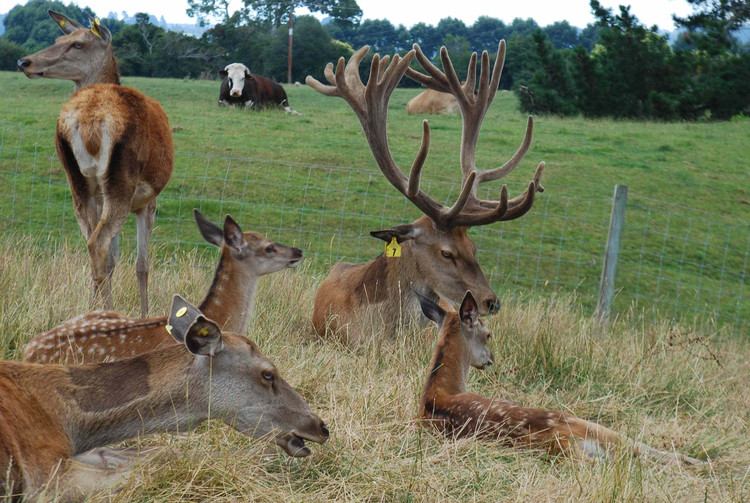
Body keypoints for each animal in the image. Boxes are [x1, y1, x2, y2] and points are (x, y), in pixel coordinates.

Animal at [0, 294, 328, 502]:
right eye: (268, 373)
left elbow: (158, 453)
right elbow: (152, 465)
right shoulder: (44, 476)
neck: (67, 423)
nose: (321, 427)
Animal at [17, 10, 173, 316]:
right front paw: (145, 315)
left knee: (90, 243)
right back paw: (106, 314)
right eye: (59, 39)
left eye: (77, 43)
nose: (24, 62)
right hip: (121, 181)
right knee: (98, 244)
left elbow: (114, 261)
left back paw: (91, 313)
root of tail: (89, 119)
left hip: (77, 181)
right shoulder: (148, 200)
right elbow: (142, 264)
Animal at [418, 292, 704, 468]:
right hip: (579, 421)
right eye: (489, 334)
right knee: (634, 451)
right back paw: (698, 462)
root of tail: (563, 443)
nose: (491, 358)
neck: (441, 391)